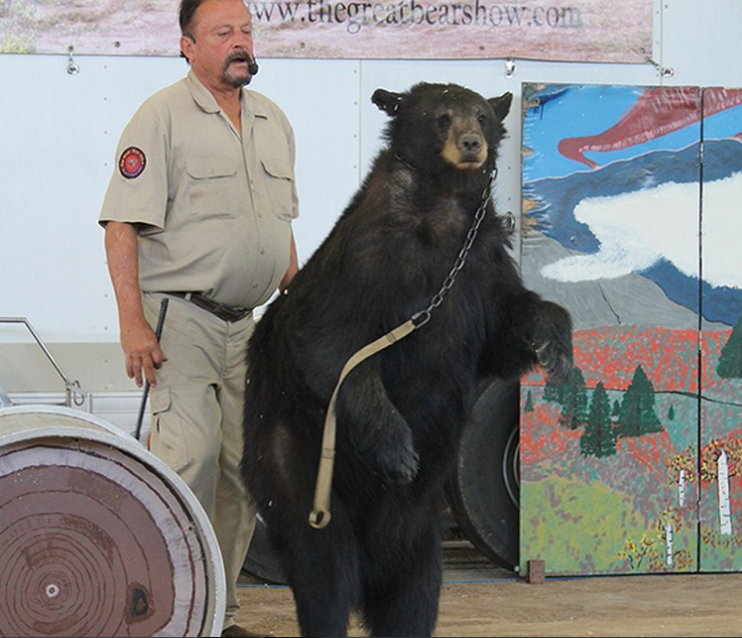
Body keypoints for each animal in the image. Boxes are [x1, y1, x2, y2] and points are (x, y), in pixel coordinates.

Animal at [244, 81, 576, 638]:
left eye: (482, 116)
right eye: (442, 116)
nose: (471, 143)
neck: (442, 209)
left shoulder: (480, 265)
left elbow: (506, 325)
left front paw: (554, 344)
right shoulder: (371, 260)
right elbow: (335, 344)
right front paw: (398, 451)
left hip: (417, 532)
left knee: (415, 591)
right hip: (299, 458)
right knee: (324, 567)